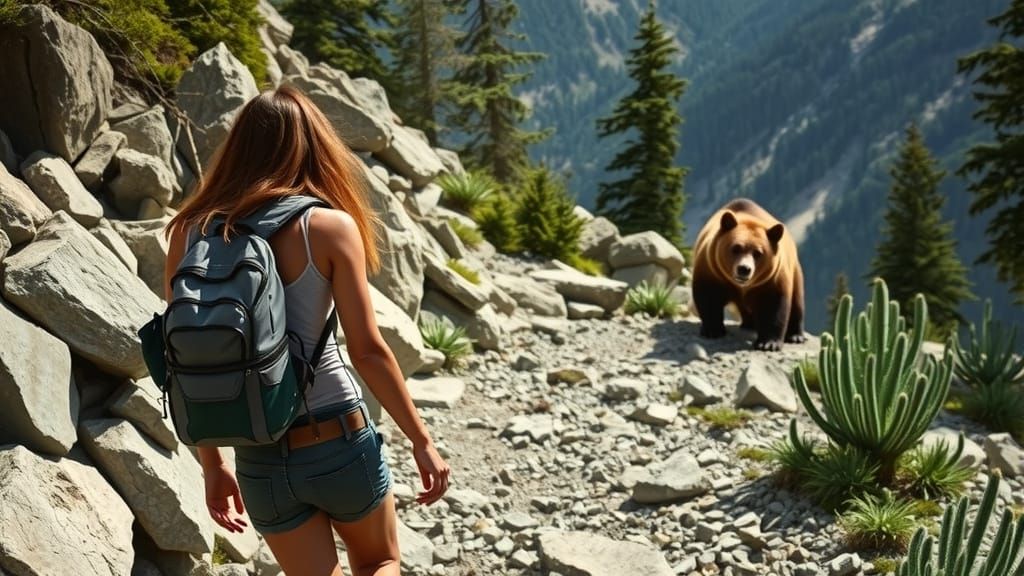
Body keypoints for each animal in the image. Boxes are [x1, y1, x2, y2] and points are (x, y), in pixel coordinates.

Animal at [691, 198, 806, 351]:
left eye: (758, 253)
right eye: (736, 248)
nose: (744, 269)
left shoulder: (772, 280)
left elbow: (773, 305)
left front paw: (768, 343)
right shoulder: (712, 270)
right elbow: (709, 297)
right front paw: (713, 330)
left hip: (795, 270)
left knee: (797, 301)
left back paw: (795, 336)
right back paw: (748, 324)